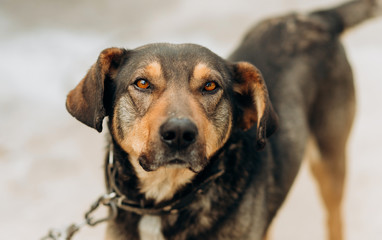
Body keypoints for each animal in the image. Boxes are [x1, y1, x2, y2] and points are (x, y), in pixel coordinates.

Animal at [65, 0, 380, 240]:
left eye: (210, 86)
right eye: (142, 83)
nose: (179, 133)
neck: (164, 202)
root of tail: (315, 18)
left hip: (330, 159)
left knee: (335, 219)